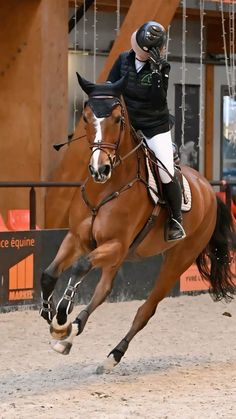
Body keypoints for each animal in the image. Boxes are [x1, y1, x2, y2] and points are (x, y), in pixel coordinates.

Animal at [39, 74, 235, 372]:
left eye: (118, 119)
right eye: (85, 117)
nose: (99, 169)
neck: (106, 189)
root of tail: (209, 191)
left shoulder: (115, 245)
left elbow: (80, 267)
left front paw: (61, 317)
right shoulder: (77, 239)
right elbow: (49, 274)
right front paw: (52, 316)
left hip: (177, 260)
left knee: (146, 309)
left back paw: (112, 354)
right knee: (104, 291)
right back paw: (72, 332)